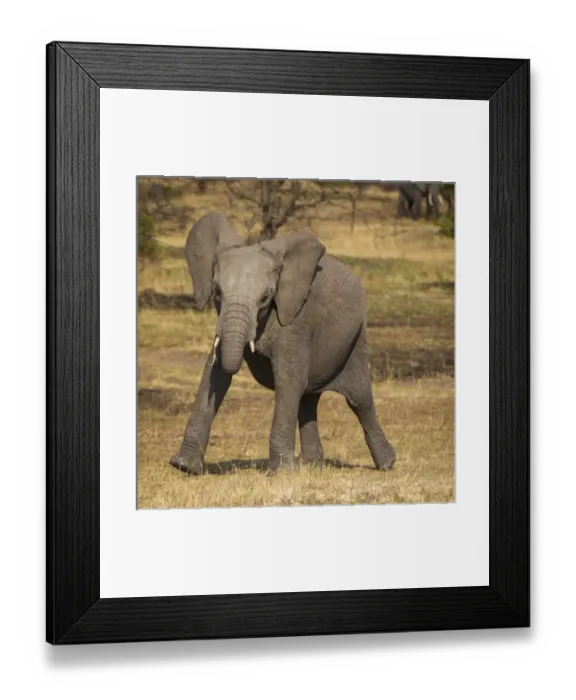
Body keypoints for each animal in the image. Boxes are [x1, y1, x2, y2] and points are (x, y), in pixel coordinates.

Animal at [169, 211, 396, 476]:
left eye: (265, 298)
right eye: (217, 292)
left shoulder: (297, 319)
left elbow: (287, 379)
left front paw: (281, 473)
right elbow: (213, 374)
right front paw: (183, 466)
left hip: (356, 339)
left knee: (360, 399)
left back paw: (387, 464)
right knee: (308, 399)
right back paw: (312, 465)